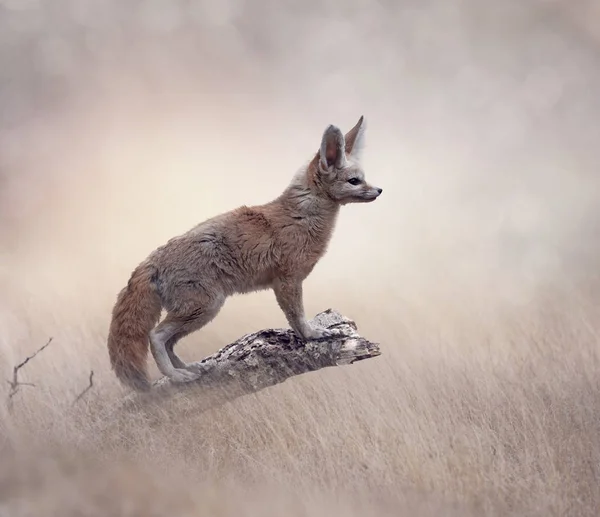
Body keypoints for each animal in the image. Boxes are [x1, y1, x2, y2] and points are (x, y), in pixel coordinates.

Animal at [106, 116, 382, 392]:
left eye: (363, 178)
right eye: (354, 181)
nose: (380, 190)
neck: (302, 216)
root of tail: (151, 259)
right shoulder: (287, 281)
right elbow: (297, 317)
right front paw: (312, 335)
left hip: (199, 313)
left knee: (169, 342)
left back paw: (188, 369)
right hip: (204, 307)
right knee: (156, 336)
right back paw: (176, 376)